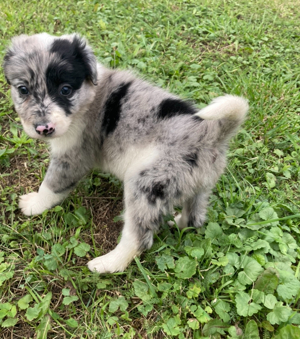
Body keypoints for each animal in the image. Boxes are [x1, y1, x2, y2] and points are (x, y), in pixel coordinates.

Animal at [2, 33, 248, 274]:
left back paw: (107, 264)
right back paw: (177, 223)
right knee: (194, 220)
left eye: (65, 90)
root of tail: (212, 134)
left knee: (139, 239)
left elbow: (51, 186)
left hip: (145, 186)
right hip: (198, 188)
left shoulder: (72, 157)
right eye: (23, 90)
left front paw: (34, 204)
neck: (89, 96)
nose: (43, 129)